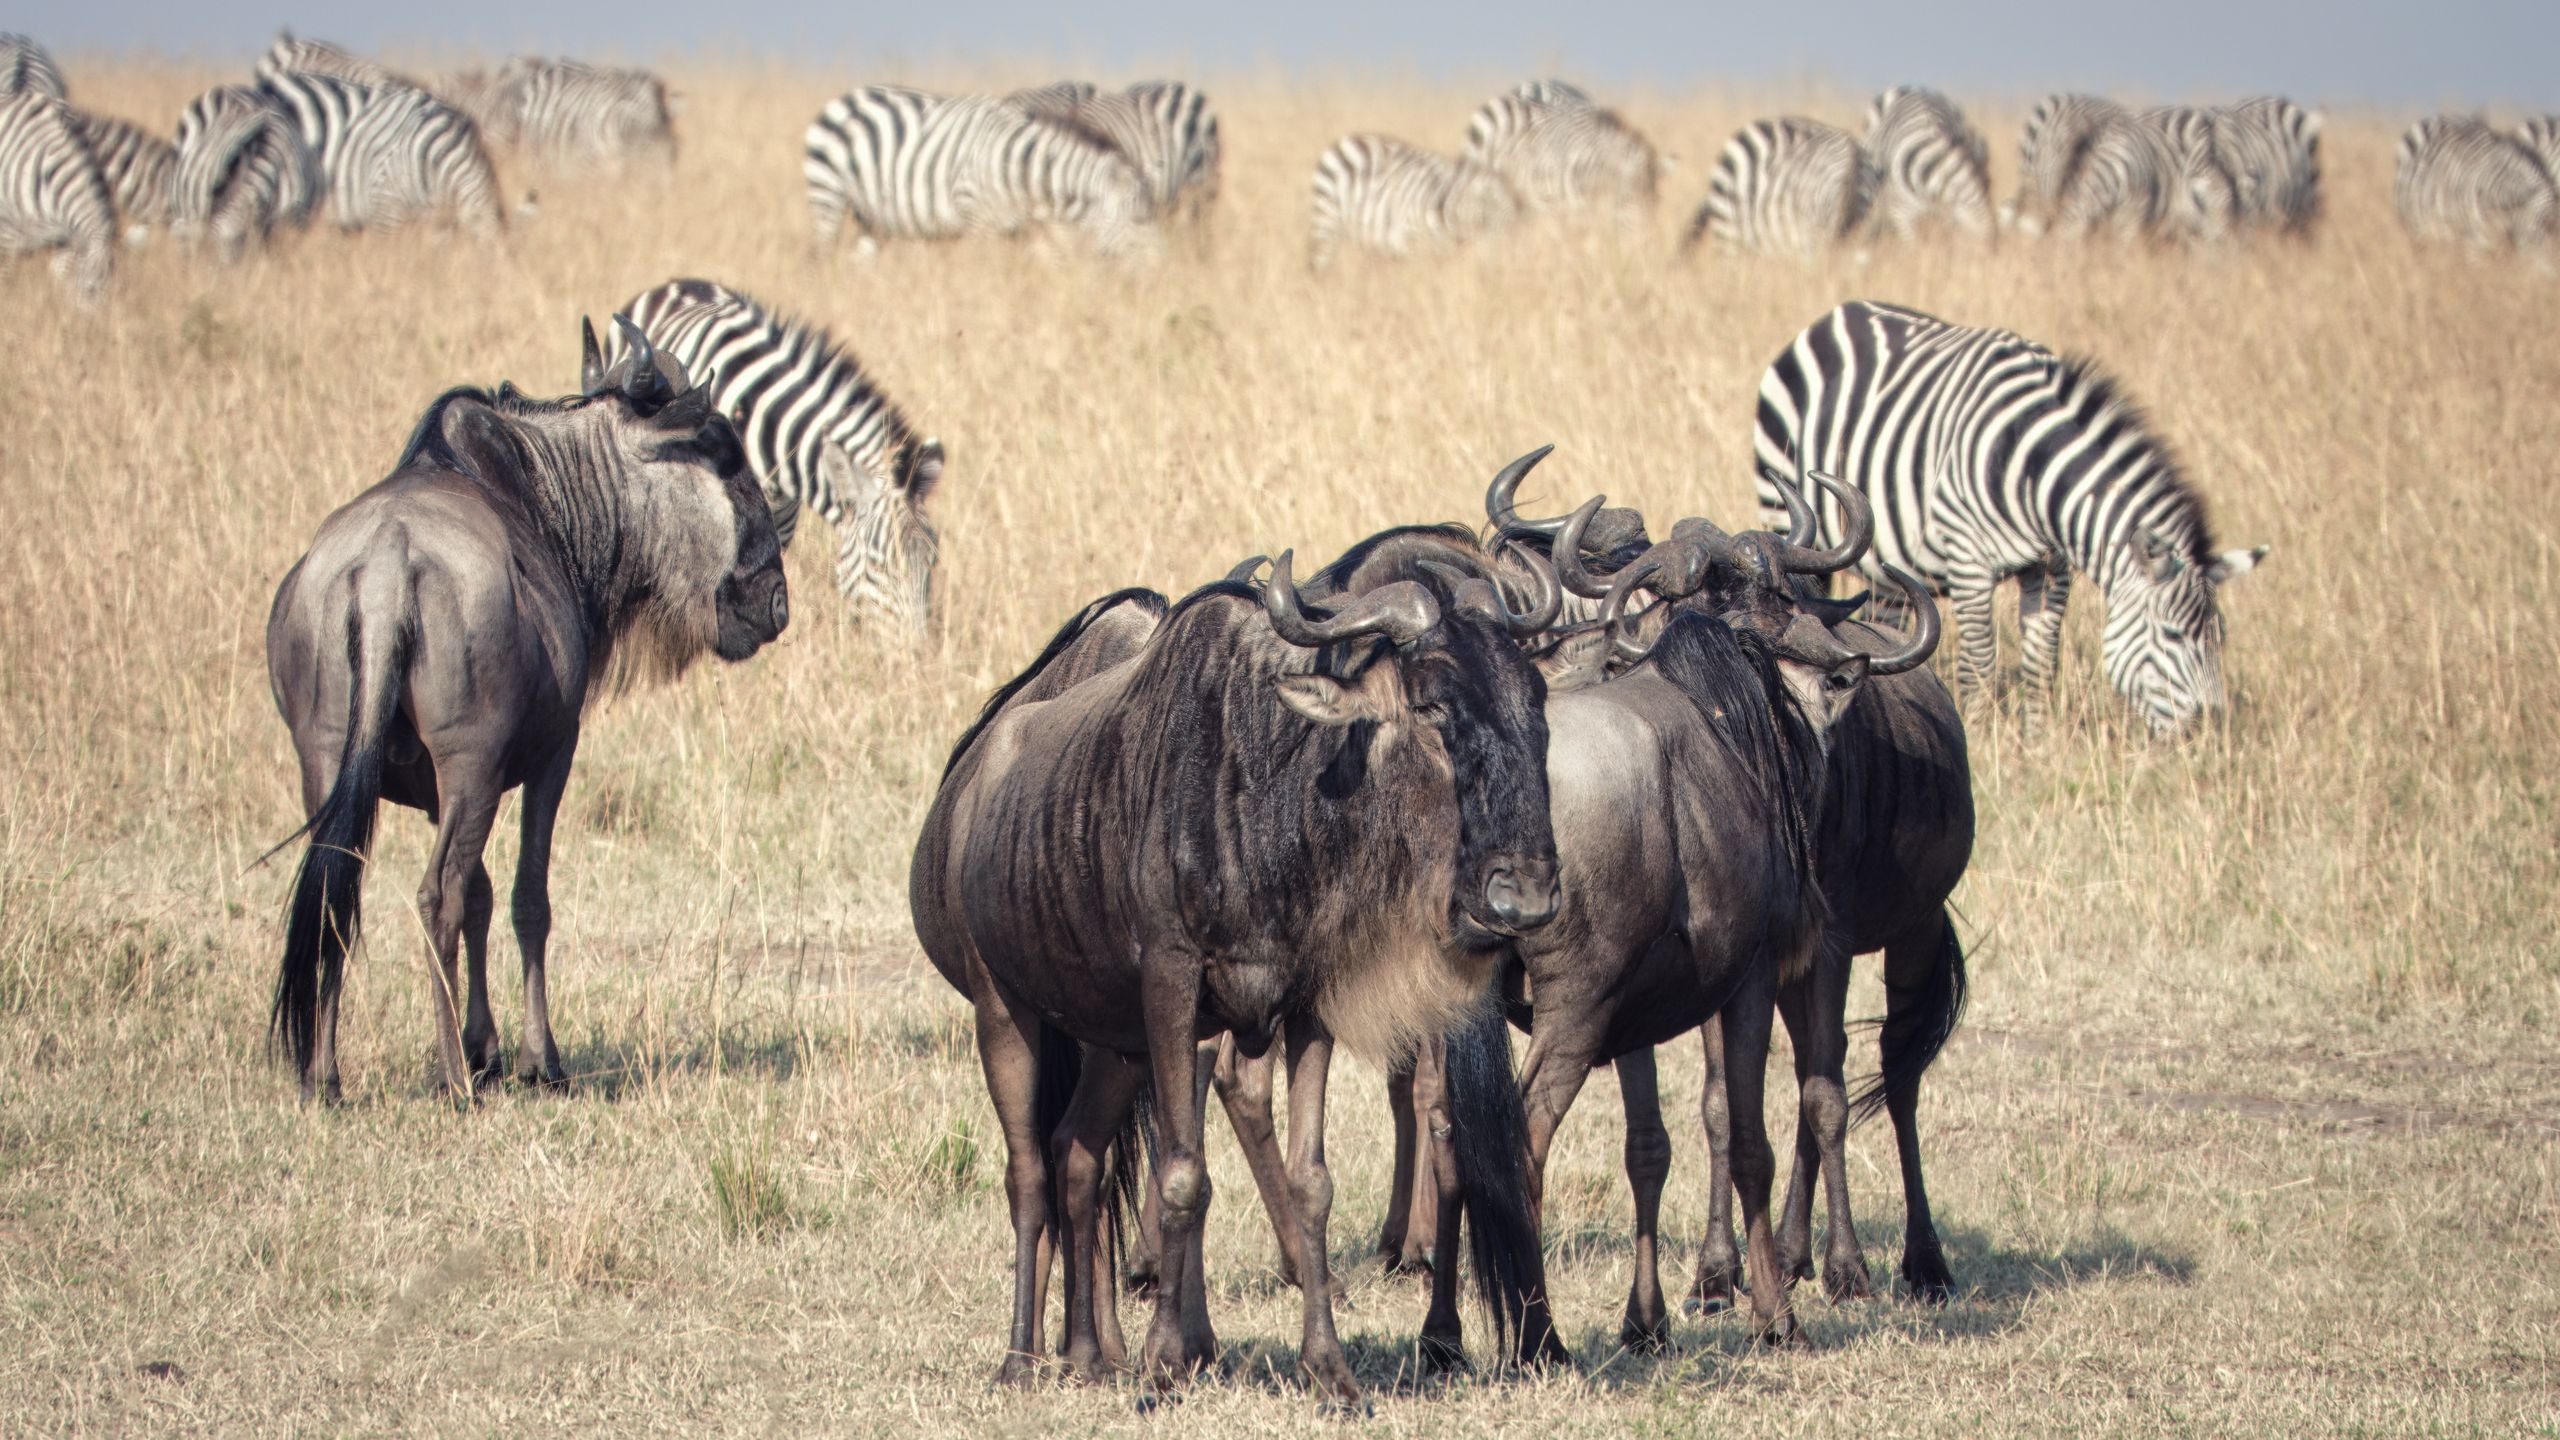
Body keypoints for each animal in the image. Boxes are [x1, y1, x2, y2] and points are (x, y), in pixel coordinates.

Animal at [0, 91, 113, 300]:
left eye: (112, 291)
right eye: (91, 289)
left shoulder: (63, 238)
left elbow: (61, 275)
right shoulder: (8, 235)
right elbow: (6, 275)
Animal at [803, 86, 1155, 260]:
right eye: (1138, 220)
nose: (1159, 275)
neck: (1019, 170)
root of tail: (846, 97)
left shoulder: (1027, 229)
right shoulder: (978, 223)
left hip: (871, 218)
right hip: (827, 195)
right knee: (820, 256)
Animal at [1307, 133, 1520, 270]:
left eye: (1511, 225)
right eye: (1485, 219)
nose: (1499, 268)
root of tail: (1348, 139)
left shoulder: (1439, 252)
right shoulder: (1412, 241)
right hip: (1326, 221)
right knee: (1320, 264)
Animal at [1753, 301, 2266, 736]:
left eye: (2221, 638)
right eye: (2173, 635)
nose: (2211, 733)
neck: (2034, 472)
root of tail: (1838, 312)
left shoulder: (2052, 568)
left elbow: (2042, 659)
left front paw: (2036, 741)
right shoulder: (1969, 560)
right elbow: (1980, 661)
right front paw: (1980, 734)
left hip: (1888, 573)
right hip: (1780, 502)